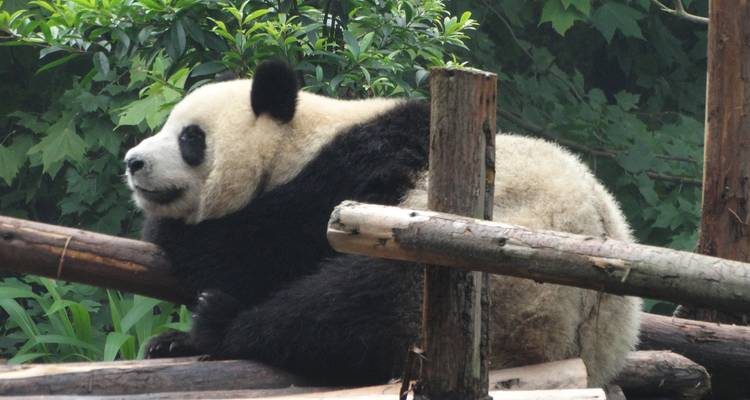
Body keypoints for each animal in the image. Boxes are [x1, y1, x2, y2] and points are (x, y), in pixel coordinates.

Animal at [124, 60, 640, 387]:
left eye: (190, 138)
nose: (133, 162)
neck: (302, 139)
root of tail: (587, 347)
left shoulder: (360, 173)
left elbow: (261, 248)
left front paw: (171, 234)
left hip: (489, 286)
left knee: (346, 308)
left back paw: (216, 325)